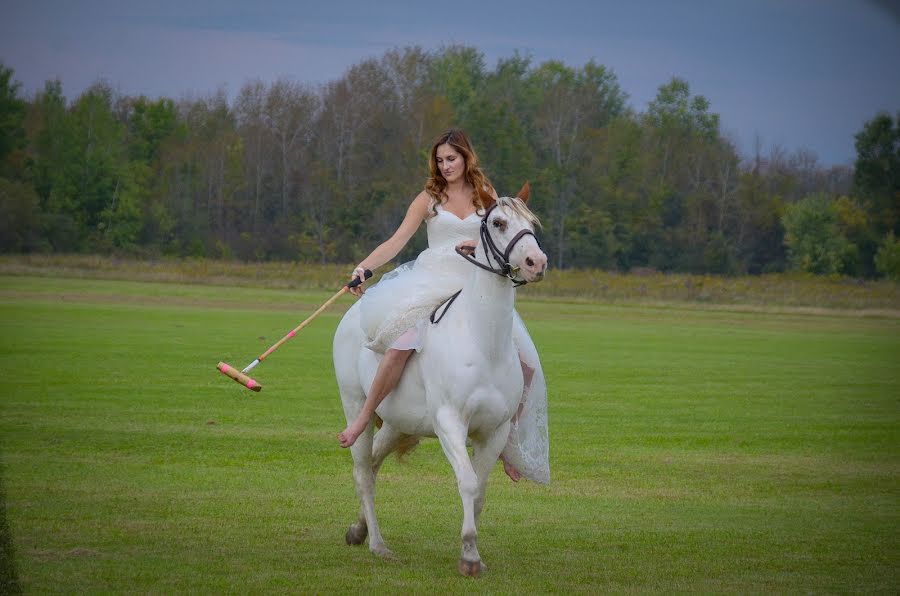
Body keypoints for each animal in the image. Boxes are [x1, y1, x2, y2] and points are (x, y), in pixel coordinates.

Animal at [332, 189, 548, 576]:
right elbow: (468, 481)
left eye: (532, 223)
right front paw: (469, 557)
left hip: (399, 423)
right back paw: (378, 545)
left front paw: (471, 549)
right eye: (498, 222)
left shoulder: (494, 431)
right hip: (355, 404)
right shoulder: (450, 422)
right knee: (363, 471)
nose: (536, 262)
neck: (483, 342)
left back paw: (358, 530)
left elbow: (480, 491)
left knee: (373, 462)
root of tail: (353, 314)